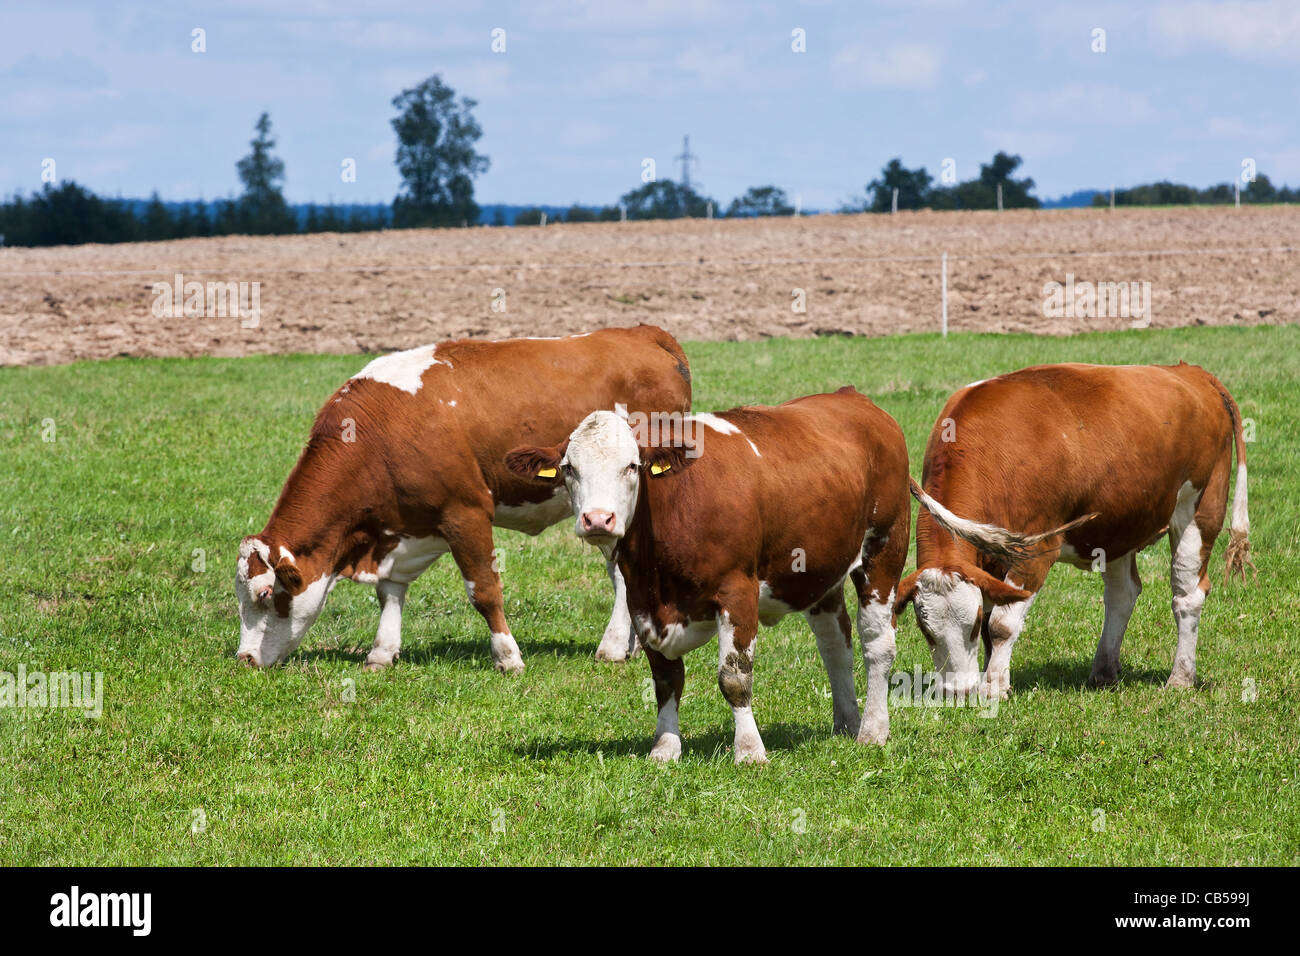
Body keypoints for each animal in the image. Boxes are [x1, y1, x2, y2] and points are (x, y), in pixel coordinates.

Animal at [235, 325, 692, 672]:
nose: (245, 658)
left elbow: (484, 591)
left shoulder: (465, 514)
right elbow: (389, 592)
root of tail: (642, 332)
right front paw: (381, 652)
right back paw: (629, 645)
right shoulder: (400, 526)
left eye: (264, 595)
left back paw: (613, 646)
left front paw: (508, 657)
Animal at [505, 387, 911, 763]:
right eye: (569, 468)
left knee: (877, 644)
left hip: (885, 549)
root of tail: (852, 397)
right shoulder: (641, 602)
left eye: (632, 466)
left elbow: (734, 678)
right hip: (820, 572)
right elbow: (667, 680)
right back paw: (847, 721)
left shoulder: (738, 592)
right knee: (835, 645)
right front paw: (665, 748)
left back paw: (873, 730)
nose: (598, 519)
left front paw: (749, 751)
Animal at [896, 362, 1254, 700]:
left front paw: (994, 686)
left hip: (1200, 509)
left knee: (1187, 595)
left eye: (969, 626)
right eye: (925, 630)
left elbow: (999, 624)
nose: (956, 692)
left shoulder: (1035, 551)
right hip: (1118, 524)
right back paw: (1104, 672)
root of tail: (1192, 373)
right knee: (1123, 593)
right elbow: (992, 618)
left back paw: (1180, 678)